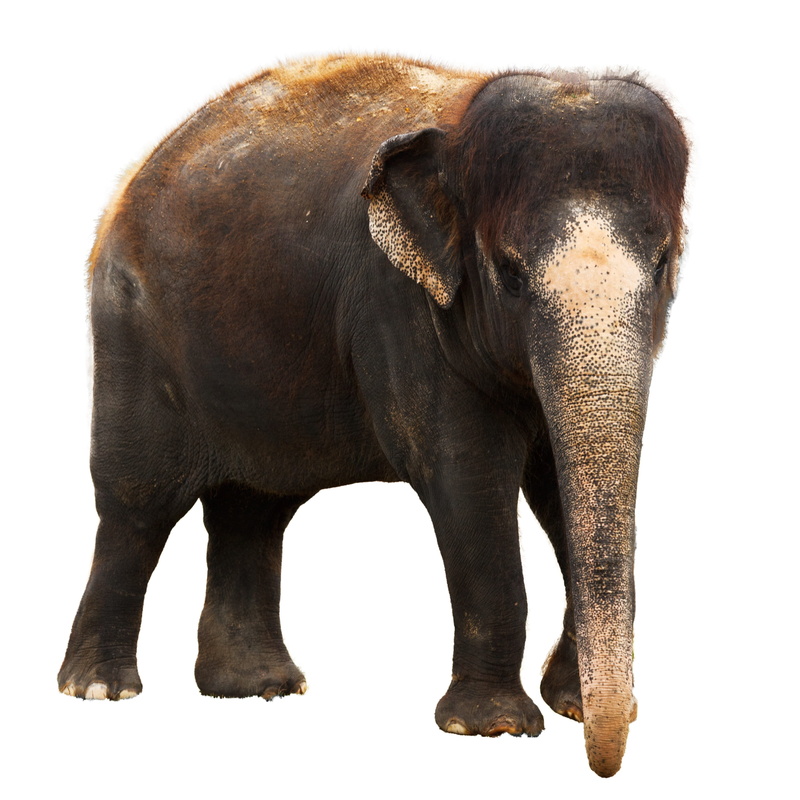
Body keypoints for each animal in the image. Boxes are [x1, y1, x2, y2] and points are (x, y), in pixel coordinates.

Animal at [58, 55, 688, 778]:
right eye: (509, 273)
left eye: (663, 264)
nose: (605, 763)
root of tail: (133, 178)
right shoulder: (398, 307)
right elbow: (467, 482)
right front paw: (493, 729)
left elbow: (559, 489)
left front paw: (573, 708)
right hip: (131, 330)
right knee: (137, 503)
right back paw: (100, 689)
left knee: (253, 509)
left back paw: (259, 688)